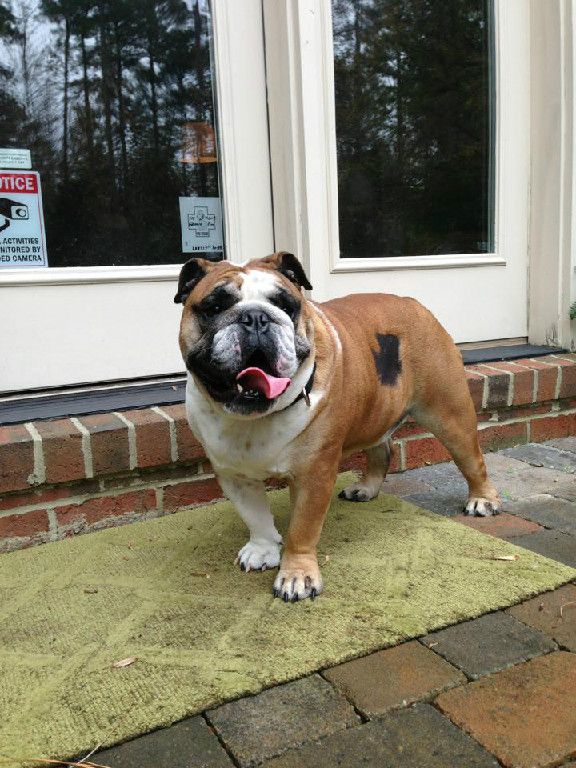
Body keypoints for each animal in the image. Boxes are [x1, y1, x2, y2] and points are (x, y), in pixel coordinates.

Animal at [175, 251, 501, 602]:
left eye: (286, 305)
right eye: (214, 307)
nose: (256, 317)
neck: (254, 416)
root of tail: (415, 305)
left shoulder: (314, 475)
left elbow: (302, 528)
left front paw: (296, 575)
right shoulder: (233, 474)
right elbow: (255, 516)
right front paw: (262, 549)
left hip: (449, 415)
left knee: (472, 460)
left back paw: (483, 500)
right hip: (375, 411)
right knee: (381, 451)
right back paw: (367, 488)